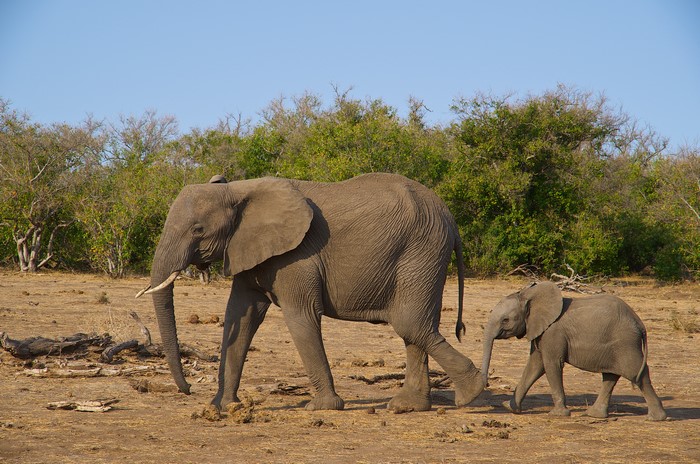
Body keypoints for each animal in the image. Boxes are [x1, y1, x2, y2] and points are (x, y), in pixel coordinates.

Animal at [136, 172, 484, 412]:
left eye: (198, 230)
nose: (188, 389)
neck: (239, 189)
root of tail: (451, 220)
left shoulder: (296, 256)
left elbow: (300, 316)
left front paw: (321, 408)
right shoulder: (248, 250)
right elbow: (241, 316)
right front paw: (221, 408)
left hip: (421, 252)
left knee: (410, 323)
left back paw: (471, 393)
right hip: (425, 256)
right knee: (417, 327)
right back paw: (408, 407)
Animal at [481, 282, 667, 421]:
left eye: (505, 320)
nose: (487, 384)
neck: (529, 296)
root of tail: (639, 323)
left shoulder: (552, 332)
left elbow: (551, 364)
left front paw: (557, 415)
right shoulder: (541, 332)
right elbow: (535, 366)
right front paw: (510, 407)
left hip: (625, 343)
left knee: (637, 373)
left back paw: (656, 418)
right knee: (610, 376)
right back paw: (594, 415)